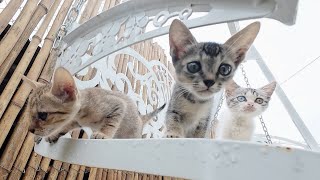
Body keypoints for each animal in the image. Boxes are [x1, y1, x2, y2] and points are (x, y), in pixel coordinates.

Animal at [23, 67, 166, 143]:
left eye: (43, 115)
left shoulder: (118, 104)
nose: (30, 129)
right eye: (30, 114)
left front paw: (104, 134)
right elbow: (64, 127)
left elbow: (111, 123)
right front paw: (53, 135)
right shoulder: (75, 121)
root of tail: (140, 118)